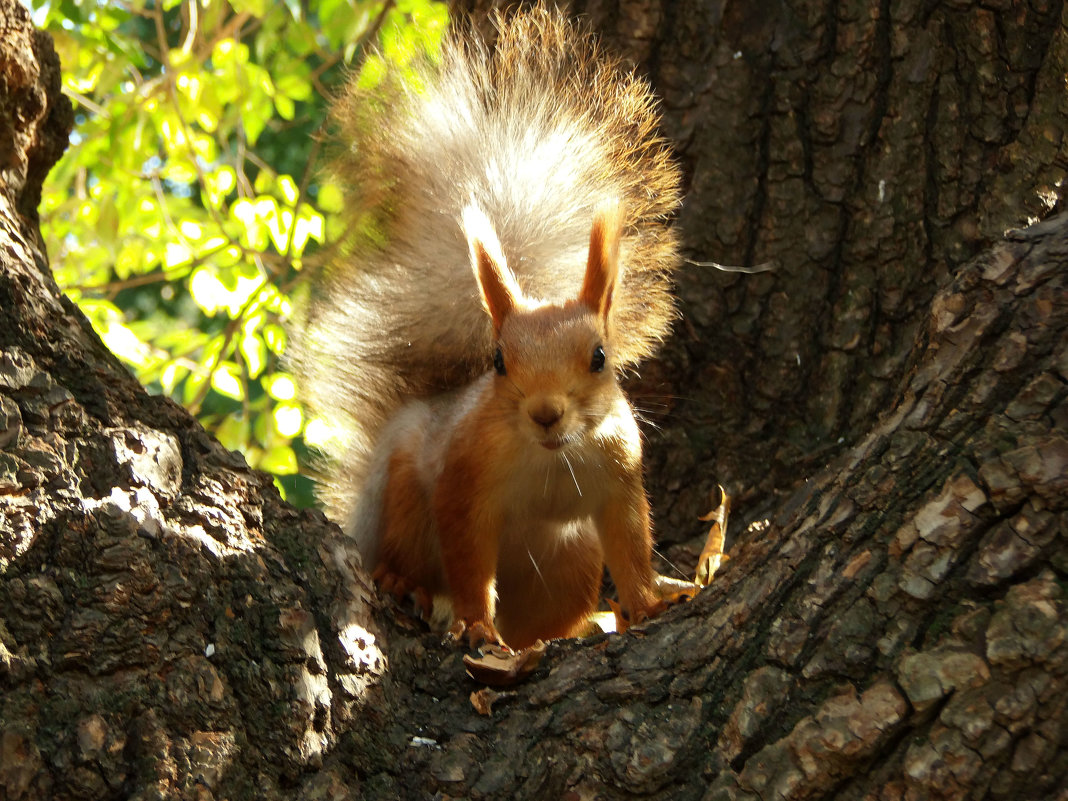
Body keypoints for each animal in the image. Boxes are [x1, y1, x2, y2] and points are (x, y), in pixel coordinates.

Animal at [288, 4, 679, 653]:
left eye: (599, 357)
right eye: (498, 362)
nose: (545, 413)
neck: (549, 458)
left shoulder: (620, 476)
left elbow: (631, 545)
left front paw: (647, 604)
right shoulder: (464, 480)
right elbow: (469, 558)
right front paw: (474, 623)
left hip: (568, 566)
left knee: (544, 618)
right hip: (404, 499)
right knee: (415, 557)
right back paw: (405, 583)